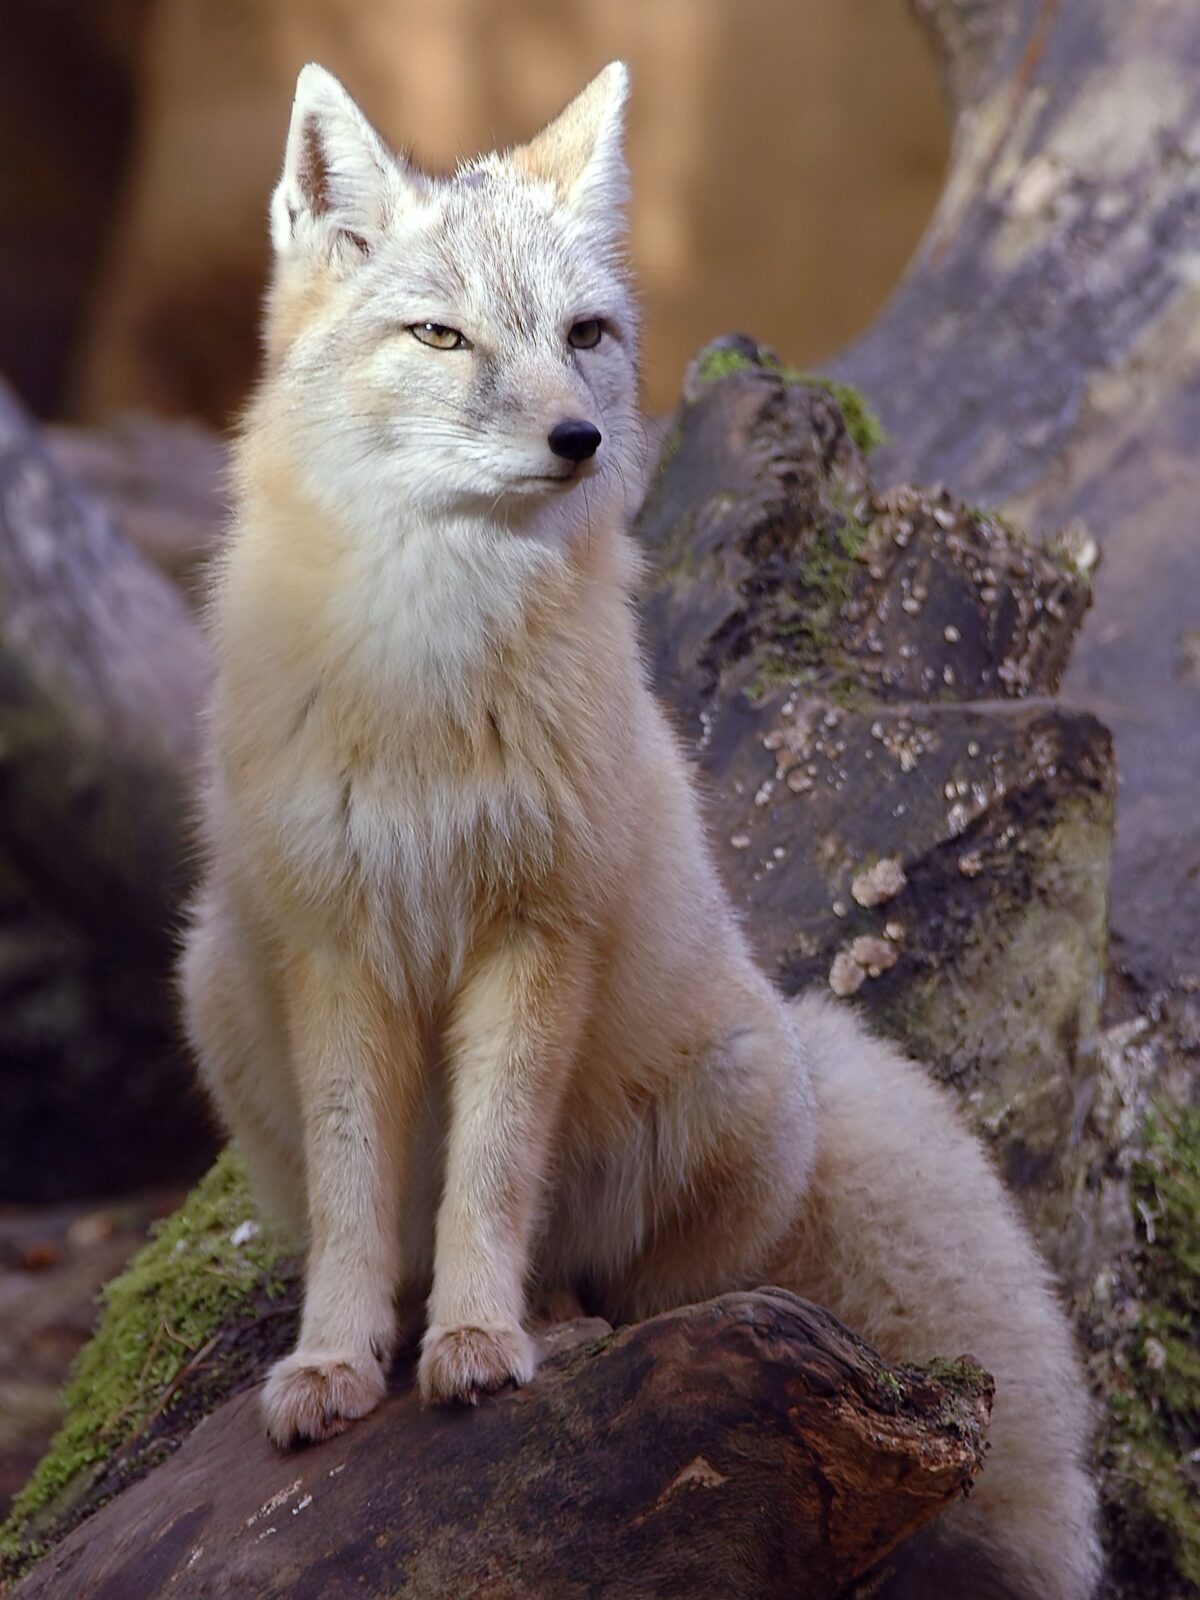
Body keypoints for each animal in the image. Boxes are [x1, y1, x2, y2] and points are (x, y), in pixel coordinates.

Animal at [179, 60, 1100, 1600]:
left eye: (587, 336)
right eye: (442, 336)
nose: (580, 438)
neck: (428, 665)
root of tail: (806, 1036)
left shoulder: (535, 929)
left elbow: (491, 1173)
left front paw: (479, 1344)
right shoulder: (337, 942)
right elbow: (362, 1198)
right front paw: (333, 1362)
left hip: (732, 1087)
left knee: (622, 1288)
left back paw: (547, 1322)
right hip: (212, 980)